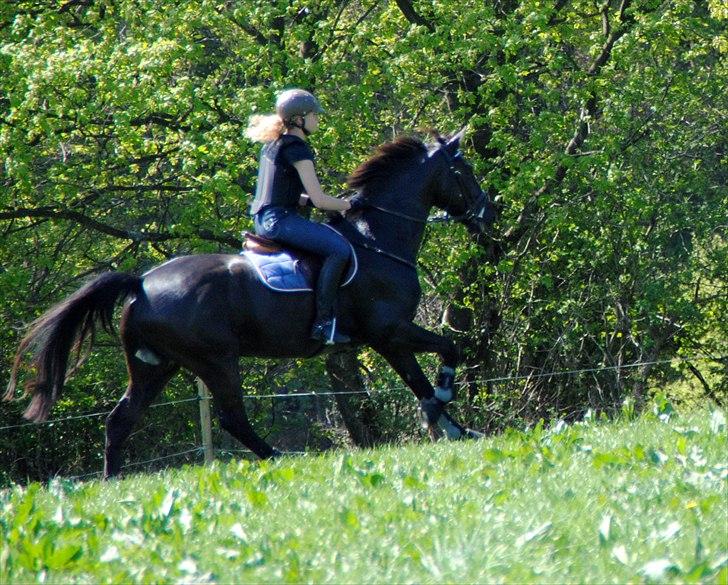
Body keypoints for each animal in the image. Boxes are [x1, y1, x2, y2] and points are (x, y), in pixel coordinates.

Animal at [4, 130, 494, 476]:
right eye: (464, 170)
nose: (491, 213)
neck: (377, 241)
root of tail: (141, 283)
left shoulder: (390, 336)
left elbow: (435, 364)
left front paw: (454, 423)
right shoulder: (389, 333)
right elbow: (435, 364)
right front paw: (446, 414)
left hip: (156, 366)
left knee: (121, 420)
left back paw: (114, 481)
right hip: (216, 360)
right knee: (231, 417)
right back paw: (277, 456)